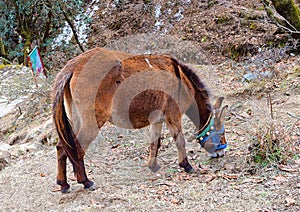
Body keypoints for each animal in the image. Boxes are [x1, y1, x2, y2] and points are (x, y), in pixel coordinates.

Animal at [52, 47, 229, 193]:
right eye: (221, 132)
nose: (221, 153)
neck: (183, 81)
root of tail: (73, 65)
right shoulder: (174, 115)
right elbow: (180, 141)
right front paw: (187, 166)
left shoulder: (158, 120)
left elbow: (155, 143)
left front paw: (153, 166)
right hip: (93, 121)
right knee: (78, 148)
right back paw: (86, 182)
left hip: (76, 118)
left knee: (62, 147)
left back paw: (64, 184)